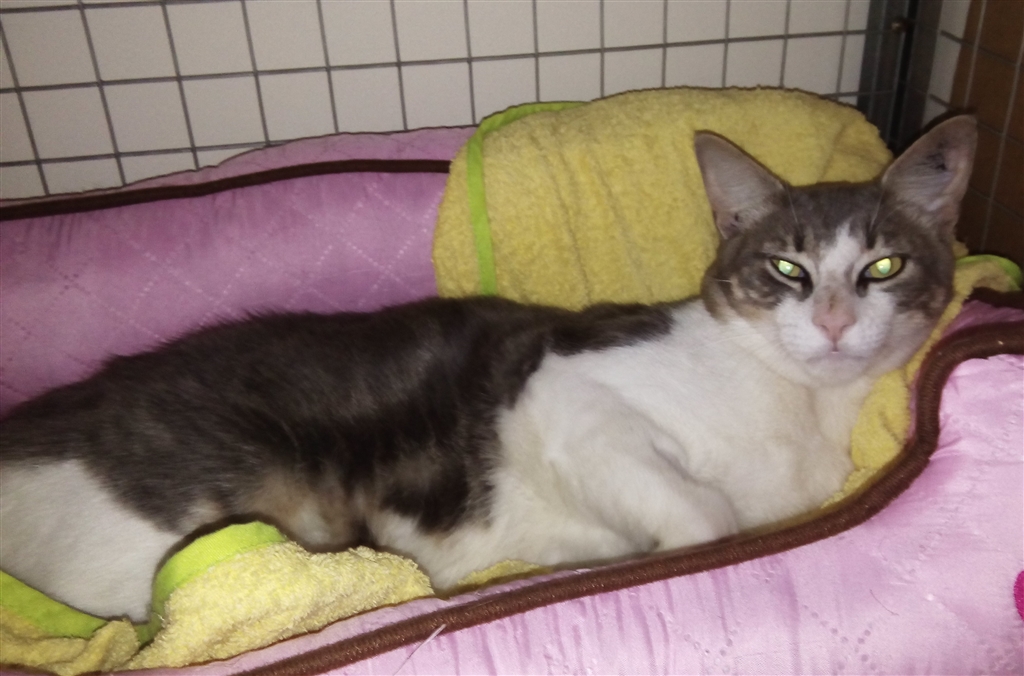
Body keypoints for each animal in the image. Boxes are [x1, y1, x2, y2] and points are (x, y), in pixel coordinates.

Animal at [0, 116, 976, 623]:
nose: (836, 320)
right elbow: (705, 516)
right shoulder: (561, 392)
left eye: (884, 266)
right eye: (786, 268)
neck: (796, 406)